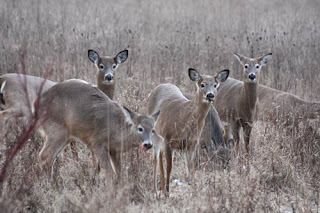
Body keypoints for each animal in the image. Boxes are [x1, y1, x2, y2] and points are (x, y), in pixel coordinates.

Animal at [148, 67, 230, 196]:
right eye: (202, 84)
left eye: (215, 85)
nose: (210, 95)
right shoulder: (168, 139)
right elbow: (169, 167)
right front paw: (167, 193)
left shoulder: (192, 143)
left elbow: (192, 167)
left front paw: (194, 190)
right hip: (155, 134)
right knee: (156, 159)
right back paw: (157, 190)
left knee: (159, 157)